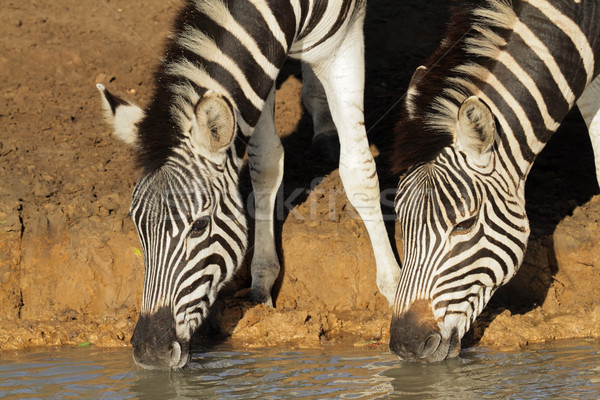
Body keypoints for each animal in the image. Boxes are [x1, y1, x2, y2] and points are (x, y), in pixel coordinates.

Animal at [96, 0, 400, 368]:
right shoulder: (264, 62)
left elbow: (358, 170)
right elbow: (265, 161)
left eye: (199, 226)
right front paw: (262, 282)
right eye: (136, 226)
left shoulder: (345, 42)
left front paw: (396, 286)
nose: (149, 351)